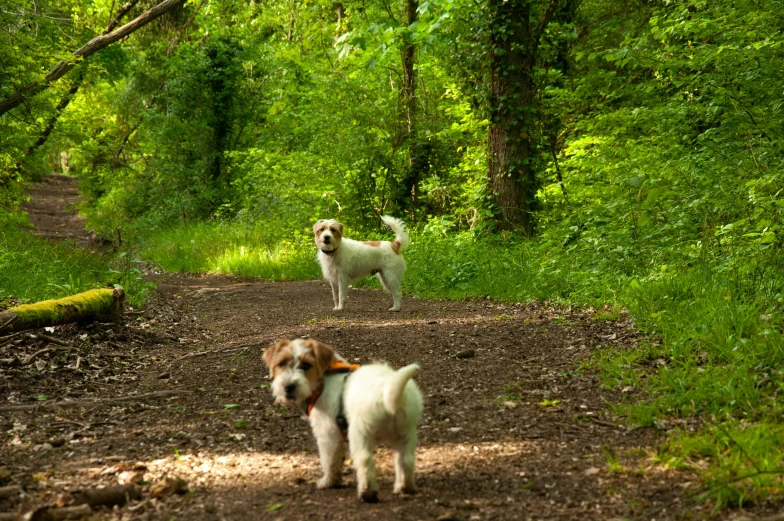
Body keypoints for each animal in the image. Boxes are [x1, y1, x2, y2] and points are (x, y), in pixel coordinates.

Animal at [262, 336, 422, 502]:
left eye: (306, 365)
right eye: (281, 363)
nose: (288, 387)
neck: (323, 380)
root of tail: (386, 389)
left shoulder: (327, 435)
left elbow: (329, 460)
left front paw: (328, 481)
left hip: (359, 435)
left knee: (365, 461)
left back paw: (367, 493)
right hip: (405, 434)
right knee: (406, 460)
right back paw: (404, 487)